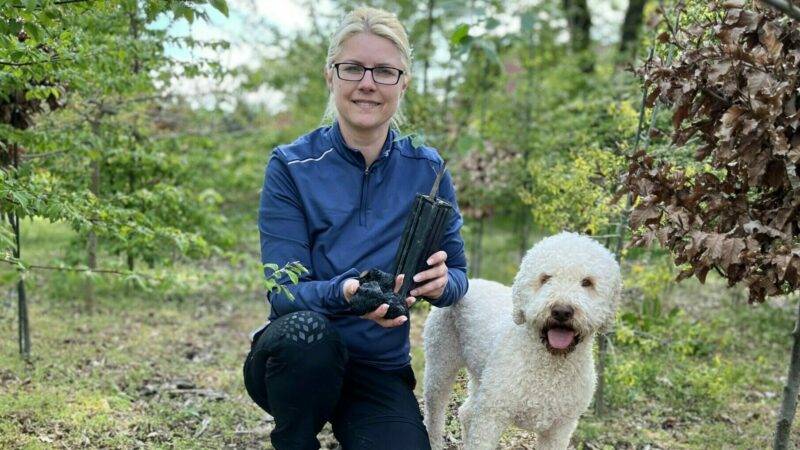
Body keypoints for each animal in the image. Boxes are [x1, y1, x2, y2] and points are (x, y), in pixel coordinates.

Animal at [422, 232, 620, 450]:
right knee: (435, 414)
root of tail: (470, 281)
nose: (561, 311)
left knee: (466, 412)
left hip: (480, 376)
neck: (548, 365)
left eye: (587, 282)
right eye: (545, 278)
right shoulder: (491, 416)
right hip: (441, 364)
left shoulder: (559, 429)